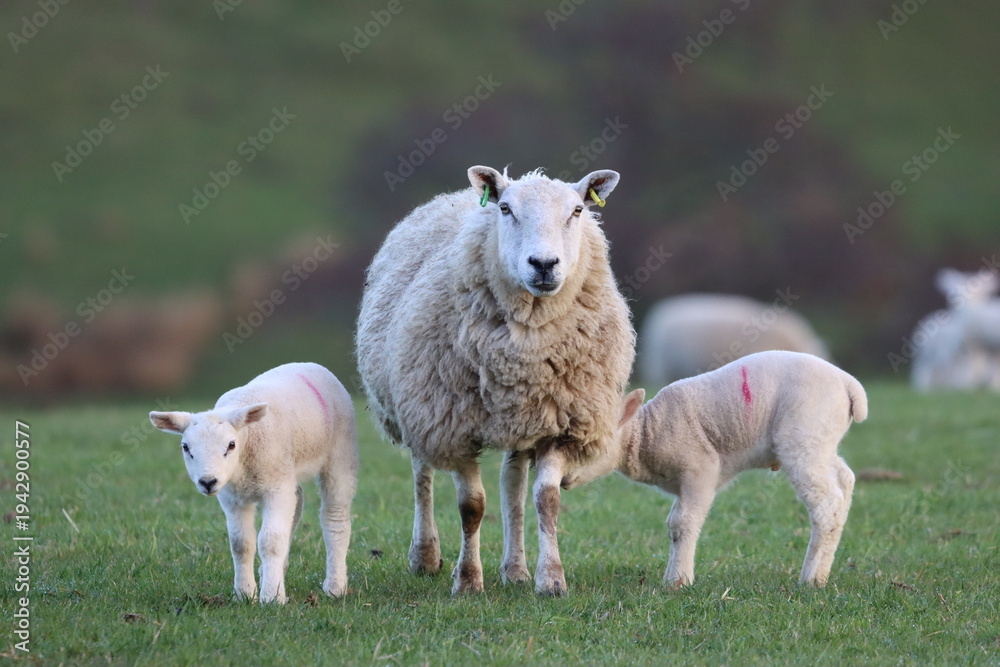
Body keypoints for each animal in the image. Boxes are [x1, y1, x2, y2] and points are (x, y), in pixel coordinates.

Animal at [149, 362, 359, 604]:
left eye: (231, 445)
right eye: (186, 447)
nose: (207, 481)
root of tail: (308, 364)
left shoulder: (276, 489)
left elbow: (271, 541)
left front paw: (272, 597)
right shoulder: (232, 497)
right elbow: (241, 544)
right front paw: (245, 594)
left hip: (340, 456)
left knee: (335, 517)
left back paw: (335, 586)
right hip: (288, 473)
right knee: (296, 506)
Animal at [356, 166, 634, 596]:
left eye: (577, 210)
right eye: (506, 209)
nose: (543, 264)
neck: (528, 348)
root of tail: (454, 196)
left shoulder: (562, 423)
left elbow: (546, 499)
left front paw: (551, 579)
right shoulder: (452, 425)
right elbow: (472, 506)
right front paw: (468, 580)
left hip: (520, 418)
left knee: (512, 487)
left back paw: (515, 569)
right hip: (416, 403)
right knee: (422, 474)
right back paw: (425, 556)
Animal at [561, 350, 866, 588]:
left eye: (589, 444)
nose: (562, 479)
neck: (647, 432)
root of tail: (849, 385)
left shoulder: (700, 470)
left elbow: (683, 523)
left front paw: (678, 582)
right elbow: (672, 524)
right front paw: (672, 576)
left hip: (804, 435)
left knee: (826, 505)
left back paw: (811, 579)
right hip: (822, 441)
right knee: (845, 481)